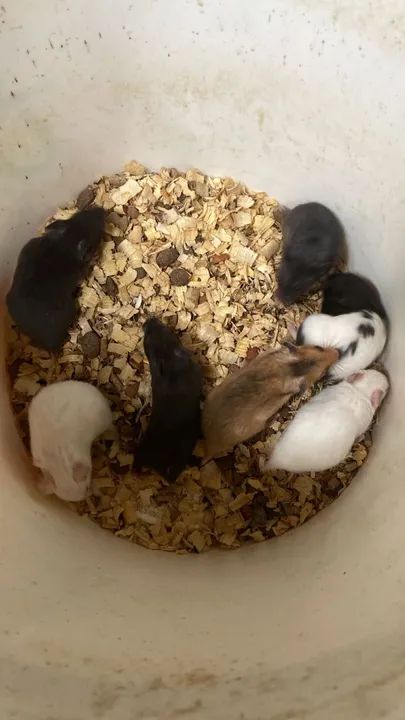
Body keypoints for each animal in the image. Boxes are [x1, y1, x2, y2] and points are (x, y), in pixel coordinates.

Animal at [7, 206, 105, 352]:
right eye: (95, 232)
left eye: (79, 213)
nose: (102, 210)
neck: (64, 242)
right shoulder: (80, 273)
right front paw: (95, 257)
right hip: (70, 309)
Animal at [202, 343, 339, 459]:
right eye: (323, 372)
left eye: (318, 347)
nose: (338, 352)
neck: (292, 368)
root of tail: (209, 446)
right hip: (257, 425)